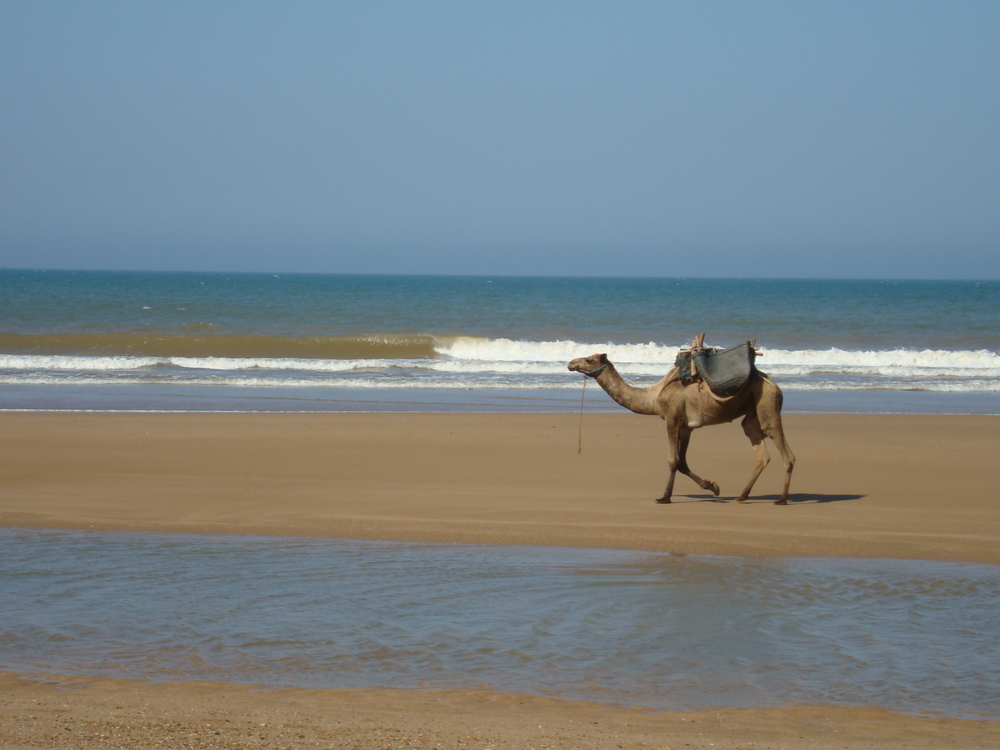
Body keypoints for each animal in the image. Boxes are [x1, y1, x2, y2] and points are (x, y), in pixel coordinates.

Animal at [572, 346, 796, 506]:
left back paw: (782, 499)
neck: (654, 397)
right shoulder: (687, 426)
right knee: (760, 452)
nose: (571, 363)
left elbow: (672, 460)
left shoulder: (672, 419)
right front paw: (712, 486)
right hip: (752, 415)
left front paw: (664, 497)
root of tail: (775, 386)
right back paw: (742, 496)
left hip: (767, 404)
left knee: (785, 451)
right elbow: (682, 462)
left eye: (589, 359)